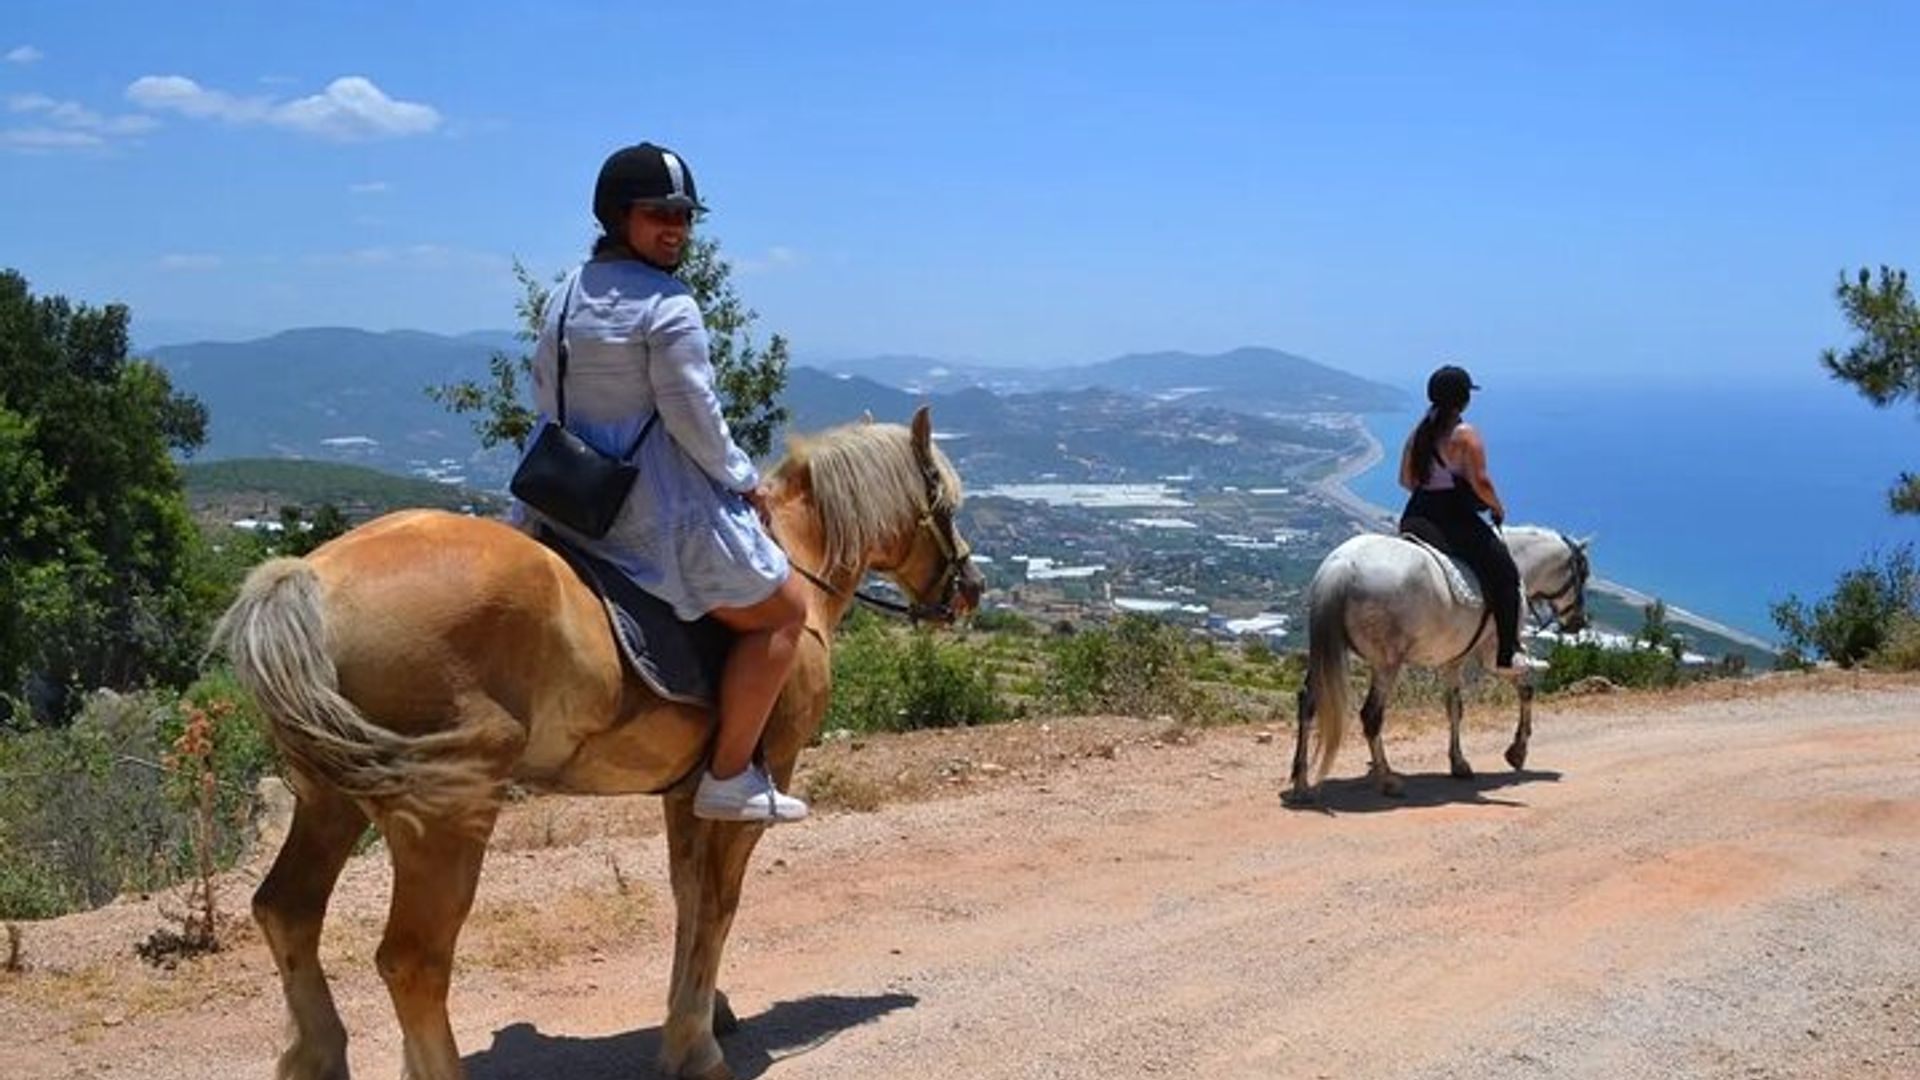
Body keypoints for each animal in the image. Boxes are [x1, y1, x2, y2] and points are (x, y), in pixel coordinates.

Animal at [212, 407, 981, 1080]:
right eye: (944, 502)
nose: (969, 589)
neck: (797, 560)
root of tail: (309, 578)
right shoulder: (759, 783)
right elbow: (720, 904)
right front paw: (696, 1048)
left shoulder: (687, 792)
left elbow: (688, 898)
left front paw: (702, 1013)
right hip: (444, 816)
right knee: (412, 959)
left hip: (328, 798)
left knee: (288, 912)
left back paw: (317, 1057)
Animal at [1284, 525, 1590, 804]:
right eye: (1583, 575)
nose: (1578, 622)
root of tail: (1342, 565)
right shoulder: (1493, 655)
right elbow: (1526, 689)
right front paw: (1517, 751)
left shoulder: (1452, 662)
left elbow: (1454, 708)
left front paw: (1459, 763)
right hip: (1387, 663)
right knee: (1371, 715)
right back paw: (1387, 780)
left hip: (1330, 653)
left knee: (1308, 703)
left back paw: (1301, 783)